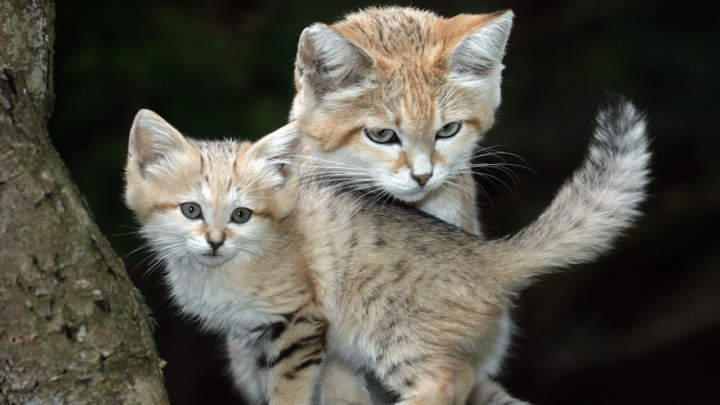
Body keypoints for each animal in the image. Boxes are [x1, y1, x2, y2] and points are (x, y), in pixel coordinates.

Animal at [126, 100, 648, 404]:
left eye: (241, 215)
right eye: (190, 210)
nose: (215, 241)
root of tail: (484, 254)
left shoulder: (297, 321)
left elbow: (289, 388)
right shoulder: (265, 338)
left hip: (388, 329)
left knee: (445, 380)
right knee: (465, 378)